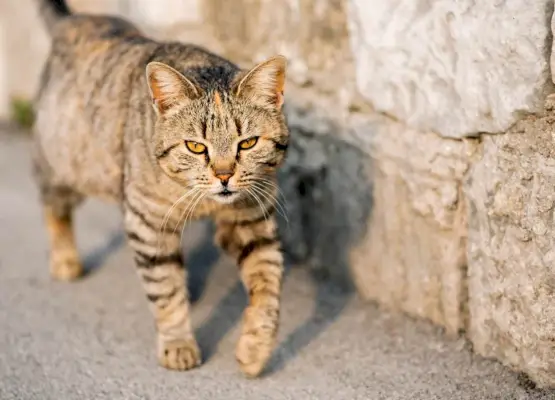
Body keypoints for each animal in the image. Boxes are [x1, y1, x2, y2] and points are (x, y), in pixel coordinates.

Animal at [33, 0, 292, 378]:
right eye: (196, 147)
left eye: (248, 143)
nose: (224, 175)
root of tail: (75, 19)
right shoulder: (147, 222)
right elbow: (165, 291)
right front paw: (178, 344)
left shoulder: (252, 222)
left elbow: (268, 288)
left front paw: (255, 349)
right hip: (66, 166)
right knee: (54, 205)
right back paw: (65, 260)